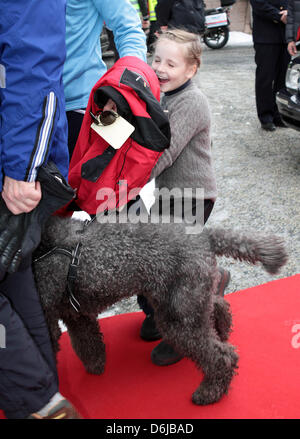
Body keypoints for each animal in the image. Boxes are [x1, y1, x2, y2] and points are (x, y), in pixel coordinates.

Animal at [31, 217, 288, 406]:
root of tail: (205, 235)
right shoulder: (75, 314)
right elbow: (87, 343)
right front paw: (95, 367)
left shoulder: (49, 317)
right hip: (188, 297)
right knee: (218, 306)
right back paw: (222, 329)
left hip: (178, 313)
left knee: (222, 356)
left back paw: (210, 392)